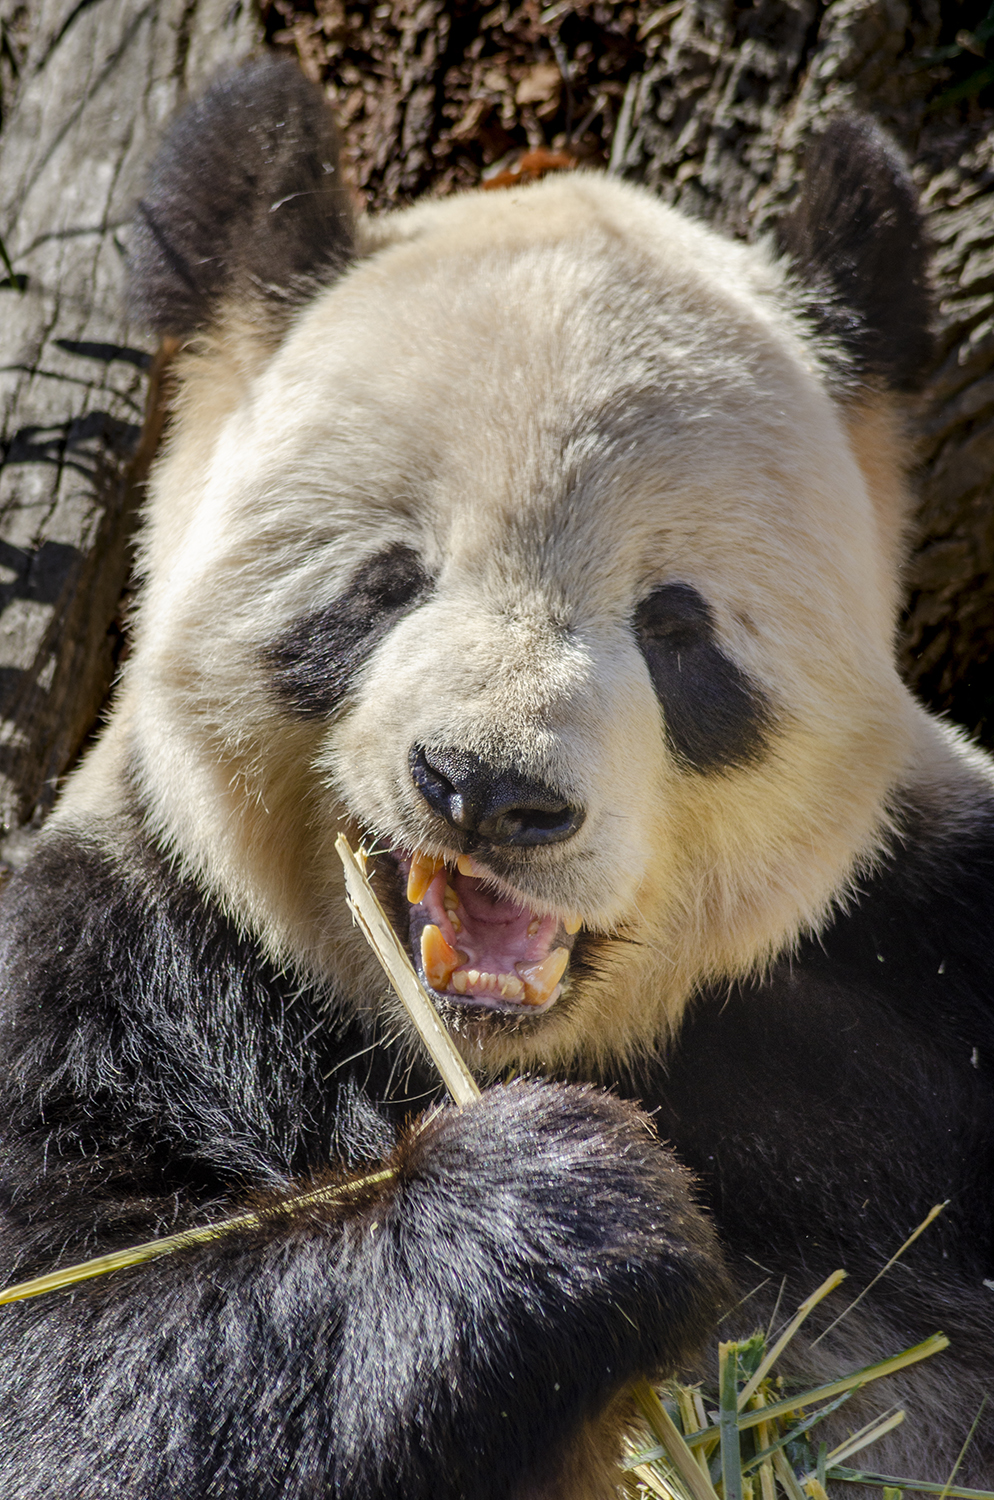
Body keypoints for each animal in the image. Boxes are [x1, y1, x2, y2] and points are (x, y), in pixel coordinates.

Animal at [0, 49, 991, 1498]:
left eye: (675, 627)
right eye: (385, 582)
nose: (486, 789)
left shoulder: (916, 965)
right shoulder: (111, 960)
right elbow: (64, 1348)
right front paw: (560, 1202)